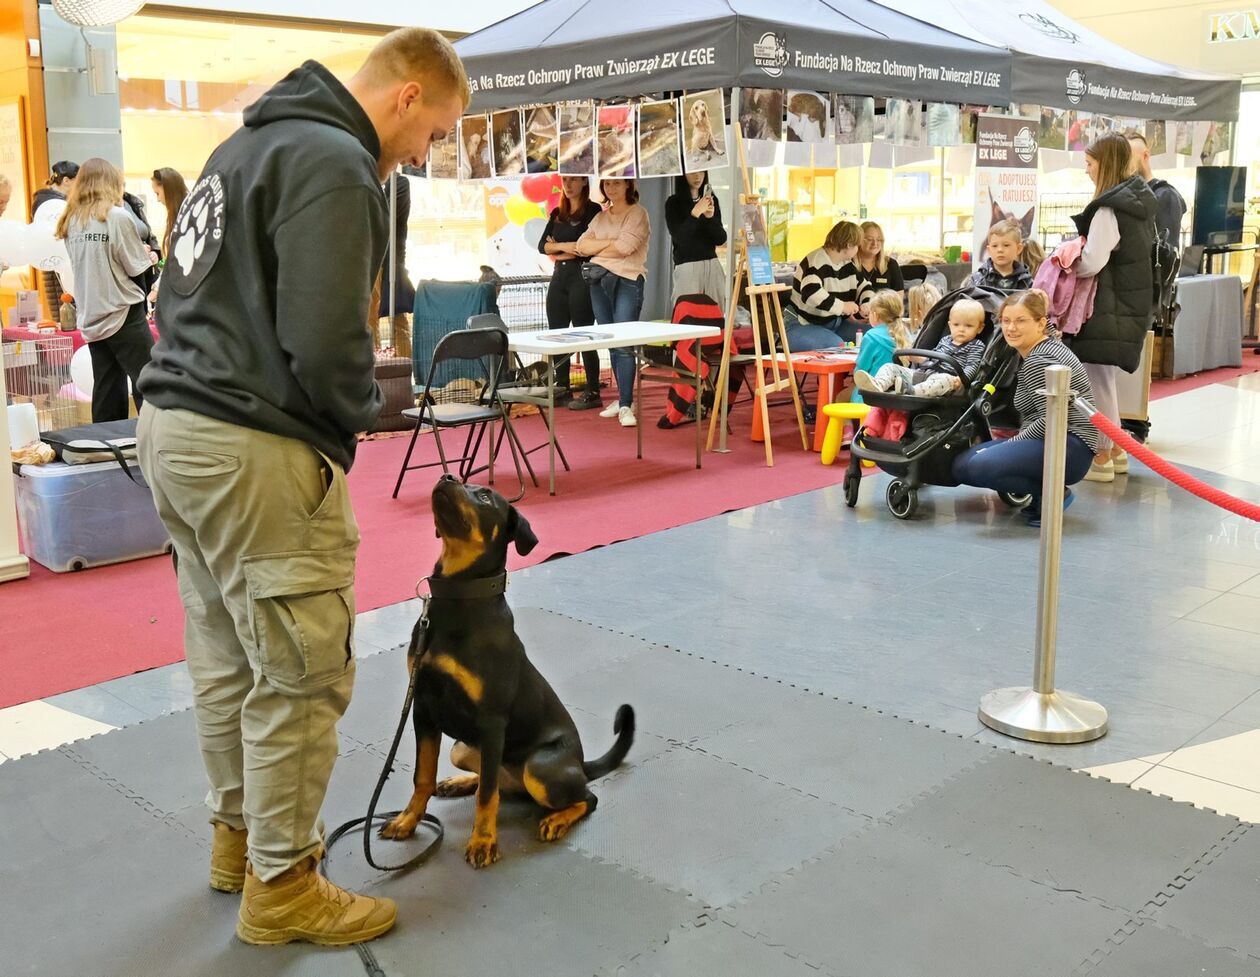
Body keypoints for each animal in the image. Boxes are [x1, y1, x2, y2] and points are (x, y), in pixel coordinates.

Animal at [380, 476, 640, 867]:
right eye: (461, 480)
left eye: (486, 496)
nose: (446, 478)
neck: (459, 599)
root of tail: (580, 764)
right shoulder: (423, 707)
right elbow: (422, 777)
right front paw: (407, 820)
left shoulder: (491, 719)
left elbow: (487, 795)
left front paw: (484, 841)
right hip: (463, 748)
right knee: (497, 781)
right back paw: (458, 783)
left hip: (538, 767)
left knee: (584, 797)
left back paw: (556, 820)